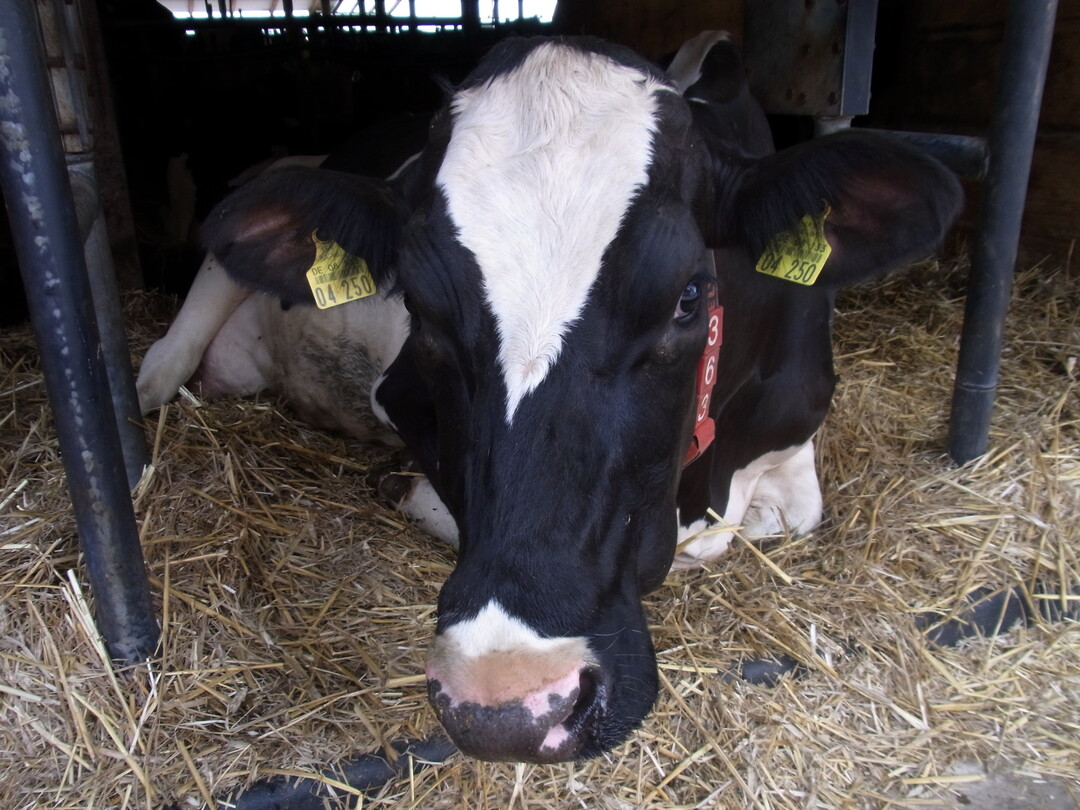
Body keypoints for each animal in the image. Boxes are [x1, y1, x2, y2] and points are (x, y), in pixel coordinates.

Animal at [136, 33, 962, 763]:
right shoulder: (399, 395)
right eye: (423, 309)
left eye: (689, 298)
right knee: (160, 366)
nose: (509, 707)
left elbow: (783, 517)